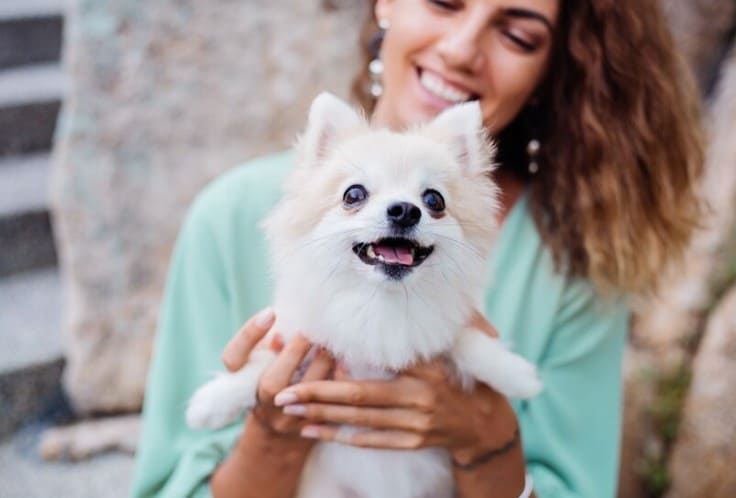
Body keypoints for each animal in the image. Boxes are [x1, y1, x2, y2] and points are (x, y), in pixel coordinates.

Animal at [184, 93, 540, 498]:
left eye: (434, 200)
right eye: (354, 195)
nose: (404, 210)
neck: (378, 300)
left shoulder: (438, 327)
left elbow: (463, 338)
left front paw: (513, 372)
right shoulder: (305, 338)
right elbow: (262, 364)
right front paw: (213, 400)